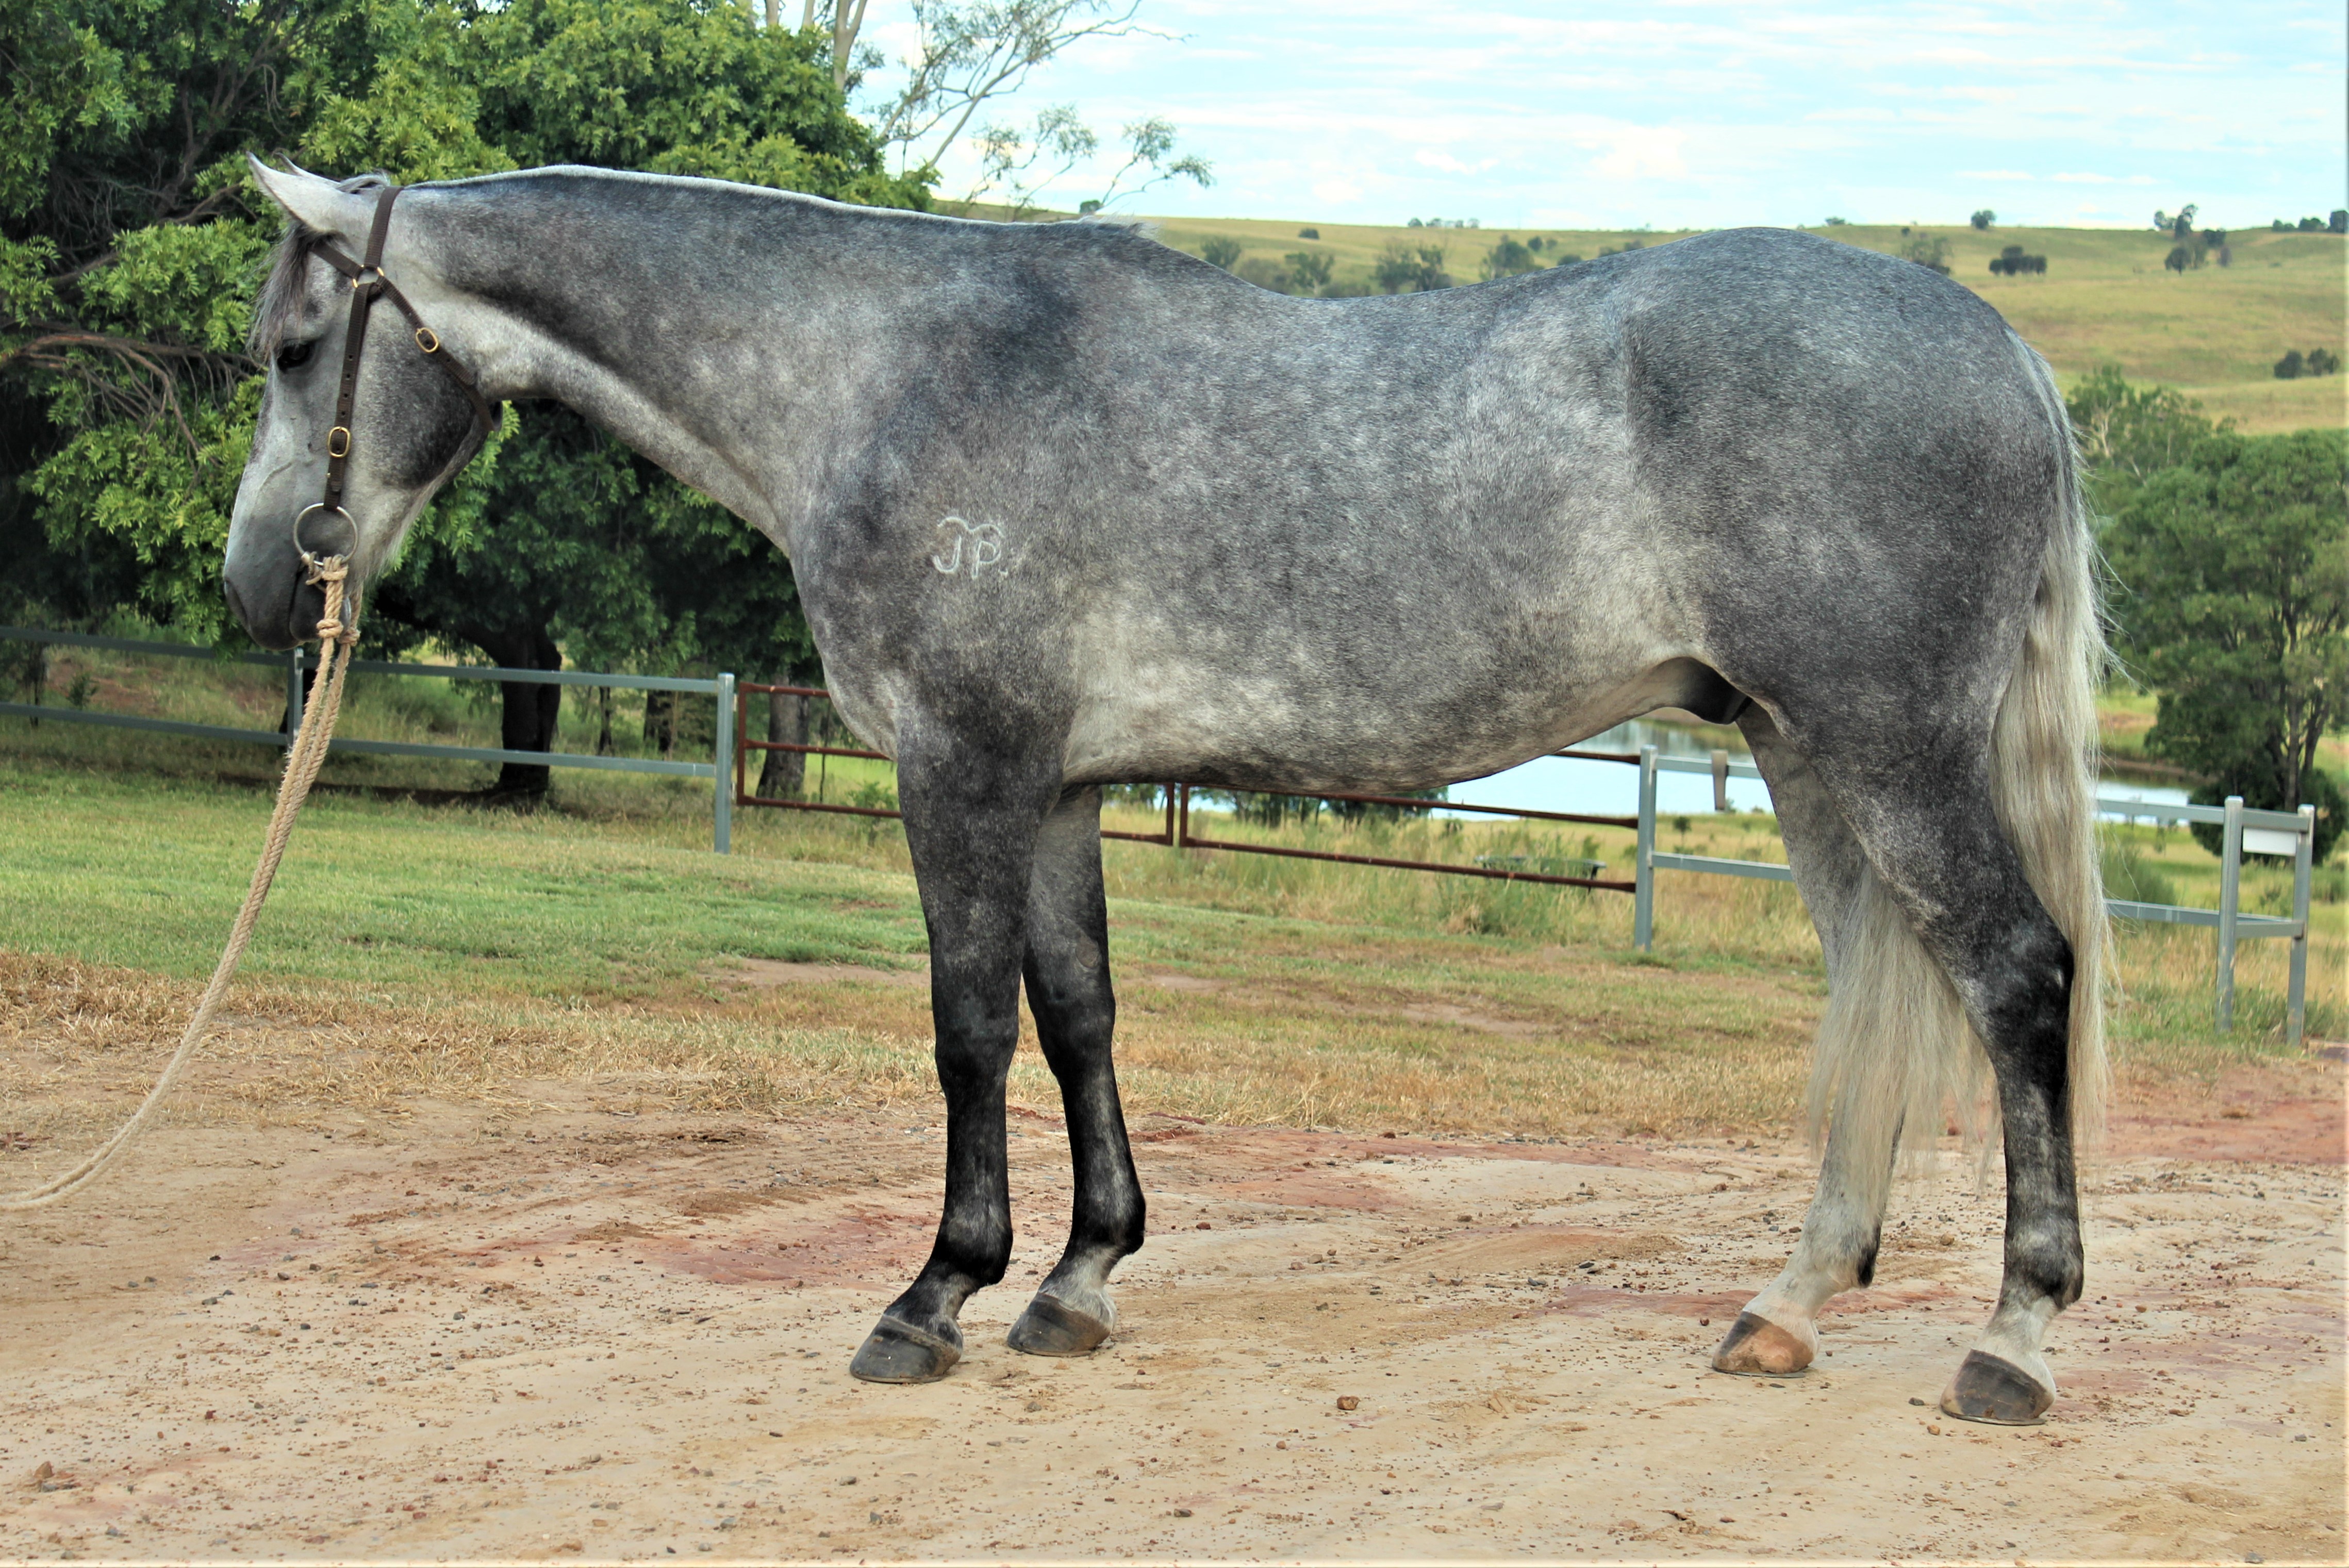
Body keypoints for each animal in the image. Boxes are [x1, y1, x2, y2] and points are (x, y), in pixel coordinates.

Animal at [225, 160, 2106, 1425]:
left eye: (299, 345)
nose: (256, 584)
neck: (881, 374)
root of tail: (2006, 349)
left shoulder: (960, 770)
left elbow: (967, 1028)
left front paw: (933, 1296)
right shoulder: (1058, 791)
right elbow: (1077, 1016)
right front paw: (1075, 1279)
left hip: (1885, 751)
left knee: (2015, 978)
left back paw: (2012, 1339)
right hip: (1801, 754)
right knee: (1883, 993)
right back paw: (1785, 1309)